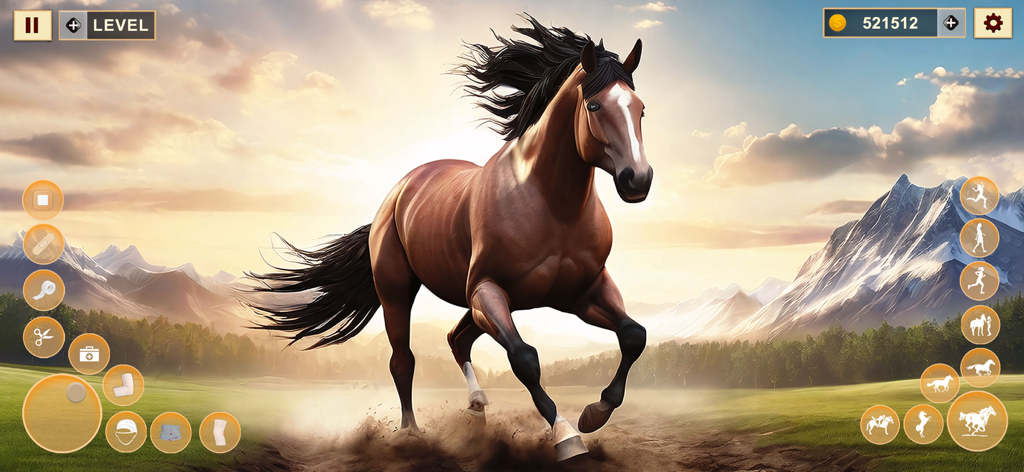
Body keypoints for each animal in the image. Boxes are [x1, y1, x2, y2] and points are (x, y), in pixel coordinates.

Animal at [249, 15, 652, 461]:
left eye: (641, 109)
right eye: (594, 106)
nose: (638, 180)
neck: (551, 205)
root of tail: (398, 192)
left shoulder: (581, 293)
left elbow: (634, 336)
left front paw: (594, 413)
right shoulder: (488, 291)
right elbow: (524, 358)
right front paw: (567, 435)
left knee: (456, 339)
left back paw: (476, 408)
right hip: (401, 292)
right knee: (404, 360)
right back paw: (411, 433)